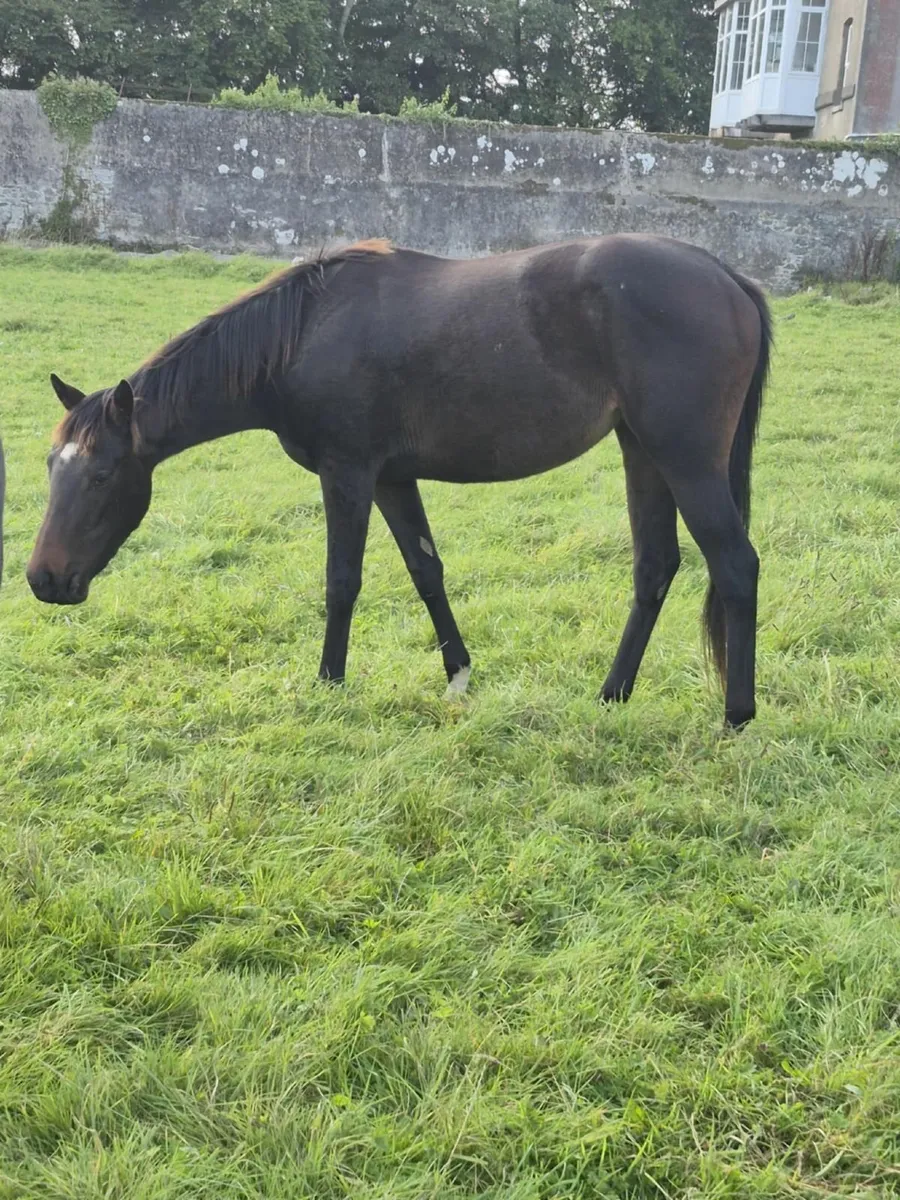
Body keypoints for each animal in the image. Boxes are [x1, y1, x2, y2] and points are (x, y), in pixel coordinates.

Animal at [27, 234, 771, 728]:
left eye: (101, 474)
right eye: (50, 465)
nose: (43, 579)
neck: (302, 333)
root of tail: (725, 275)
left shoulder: (348, 474)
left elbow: (342, 582)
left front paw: (328, 683)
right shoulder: (392, 480)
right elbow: (426, 572)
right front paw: (459, 675)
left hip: (686, 460)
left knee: (735, 565)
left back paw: (736, 717)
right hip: (642, 452)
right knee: (655, 567)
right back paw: (613, 694)